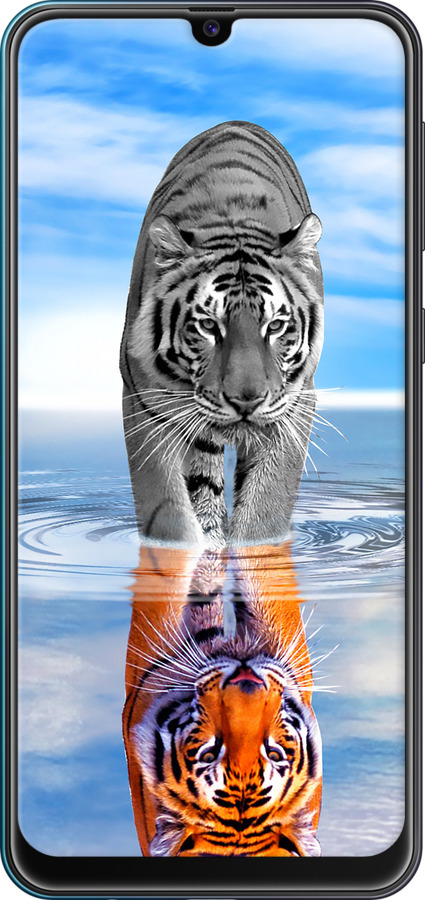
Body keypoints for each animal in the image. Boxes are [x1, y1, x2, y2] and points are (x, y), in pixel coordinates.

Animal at [120, 121, 324, 549]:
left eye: (275, 326)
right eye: (209, 326)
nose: (246, 401)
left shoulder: (295, 404)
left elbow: (265, 510)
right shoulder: (144, 401)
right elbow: (168, 512)